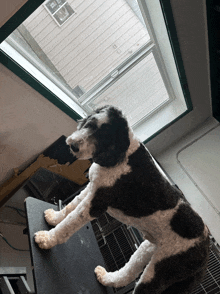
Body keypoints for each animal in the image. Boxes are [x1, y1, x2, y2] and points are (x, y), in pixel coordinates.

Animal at [35, 104, 209, 292]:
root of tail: (205, 249)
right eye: (91, 123)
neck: (124, 152)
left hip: (163, 268)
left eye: (105, 138)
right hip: (149, 248)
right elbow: (71, 205)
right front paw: (53, 217)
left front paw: (47, 239)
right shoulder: (93, 187)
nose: (74, 146)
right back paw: (106, 277)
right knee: (127, 273)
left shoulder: (96, 204)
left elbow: (70, 223)